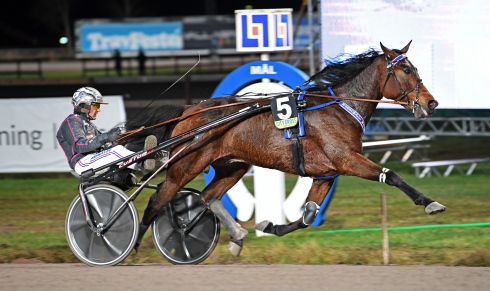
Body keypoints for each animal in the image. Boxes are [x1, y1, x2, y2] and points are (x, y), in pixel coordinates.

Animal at [124, 41, 446, 258]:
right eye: (407, 69)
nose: (431, 103)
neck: (339, 107)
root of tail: (190, 110)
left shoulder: (326, 174)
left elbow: (307, 217)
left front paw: (271, 227)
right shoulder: (347, 160)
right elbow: (391, 176)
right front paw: (431, 203)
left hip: (233, 165)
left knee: (208, 197)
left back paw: (235, 235)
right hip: (185, 165)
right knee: (157, 200)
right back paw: (131, 245)